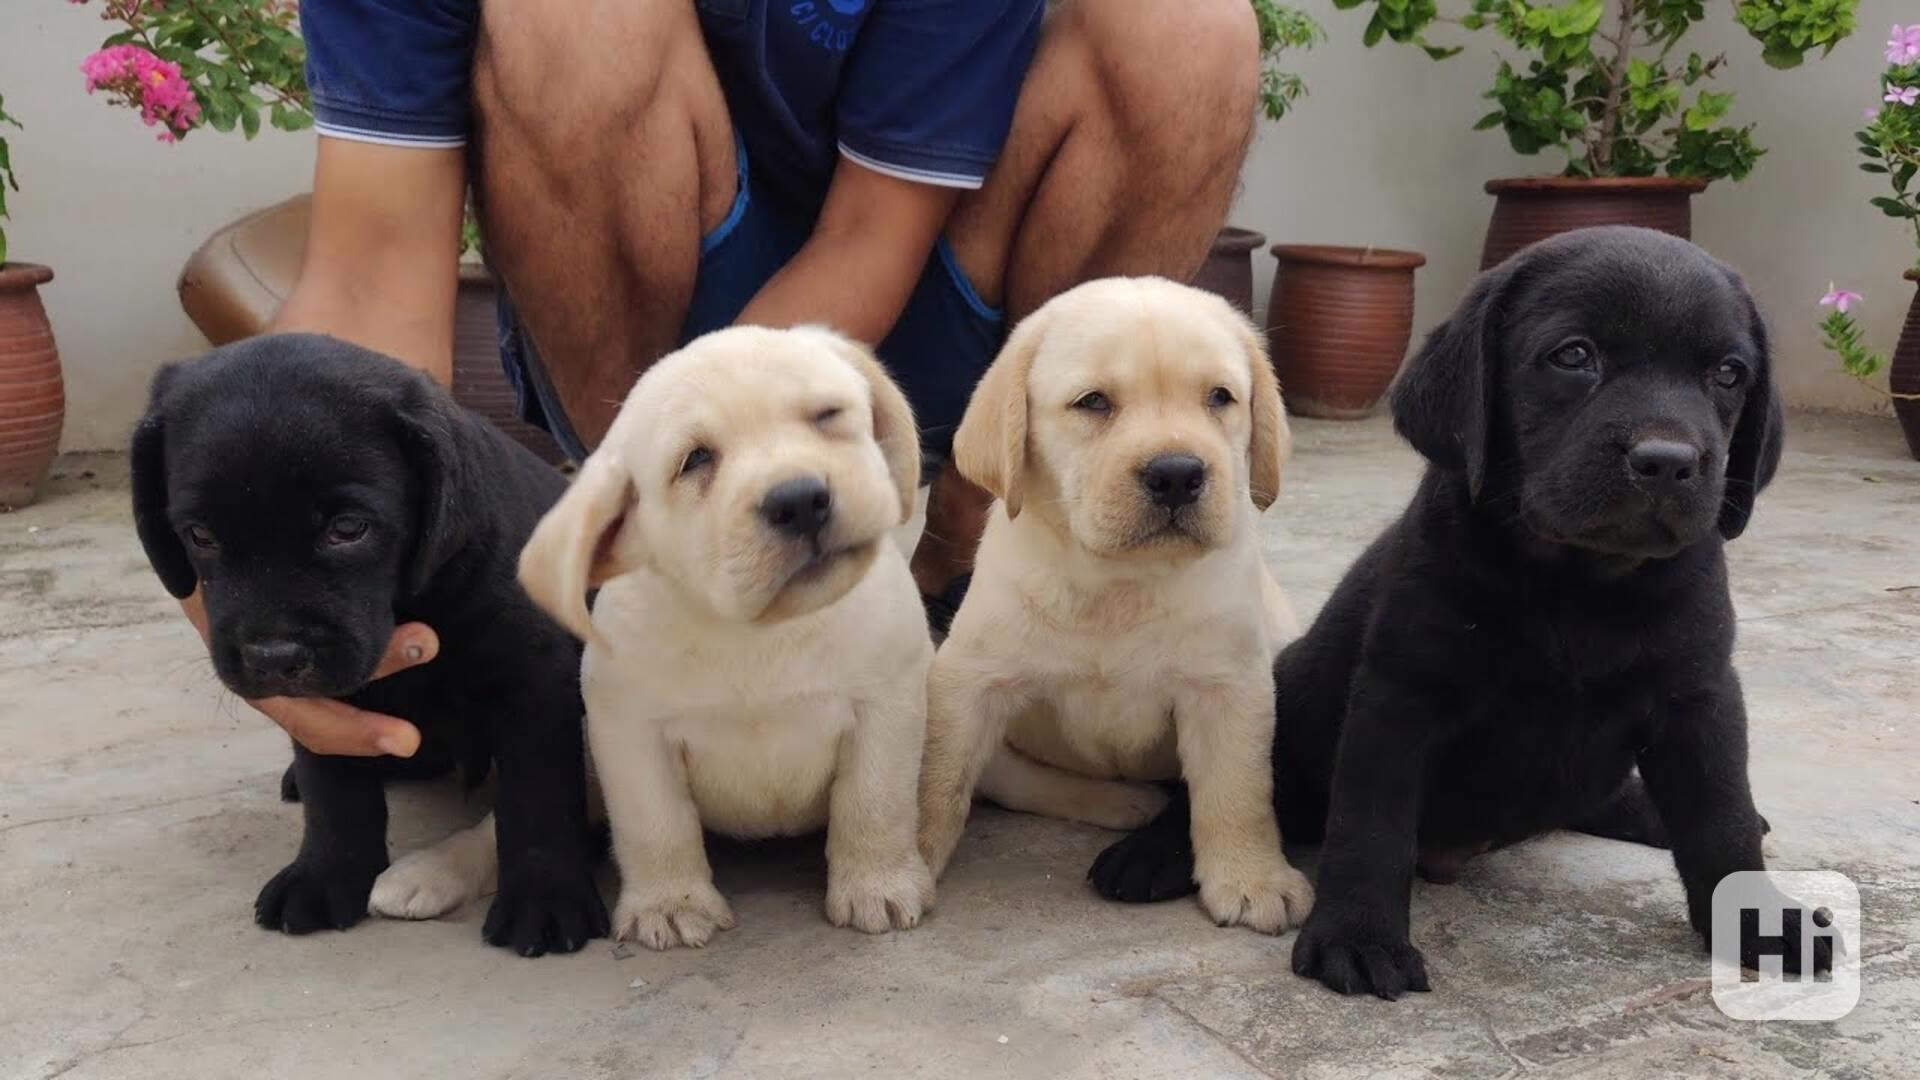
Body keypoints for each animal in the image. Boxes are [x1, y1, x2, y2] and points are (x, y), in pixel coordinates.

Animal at [133, 332, 606, 953]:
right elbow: (333, 788)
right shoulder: (326, 709)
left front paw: (545, 899)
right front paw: (325, 874)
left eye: (348, 529)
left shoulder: (533, 681)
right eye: (200, 535)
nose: (272, 659)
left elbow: (538, 795)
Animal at [510, 322, 929, 945]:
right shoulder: (630, 730)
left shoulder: (887, 705)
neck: (756, 633)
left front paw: (877, 884)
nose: (799, 499)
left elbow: (875, 802)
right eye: (696, 459)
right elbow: (655, 824)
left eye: (827, 415)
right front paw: (669, 903)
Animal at [917, 272, 1320, 930]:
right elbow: (937, 779)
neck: (1118, 584)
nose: (1178, 474)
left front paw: (1250, 876)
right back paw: (1123, 802)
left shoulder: (1229, 685)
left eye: (1220, 397)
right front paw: (901, 858)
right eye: (1093, 403)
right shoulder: (968, 679)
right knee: (1020, 781)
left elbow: (1236, 790)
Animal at [1098, 224, 1827, 991]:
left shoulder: (1699, 696)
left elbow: (1722, 819)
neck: (1579, 584)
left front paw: (1761, 920)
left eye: (1729, 374)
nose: (1668, 461)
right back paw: (1154, 852)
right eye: (1574, 356)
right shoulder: (1401, 693)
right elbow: (1372, 825)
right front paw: (1358, 936)